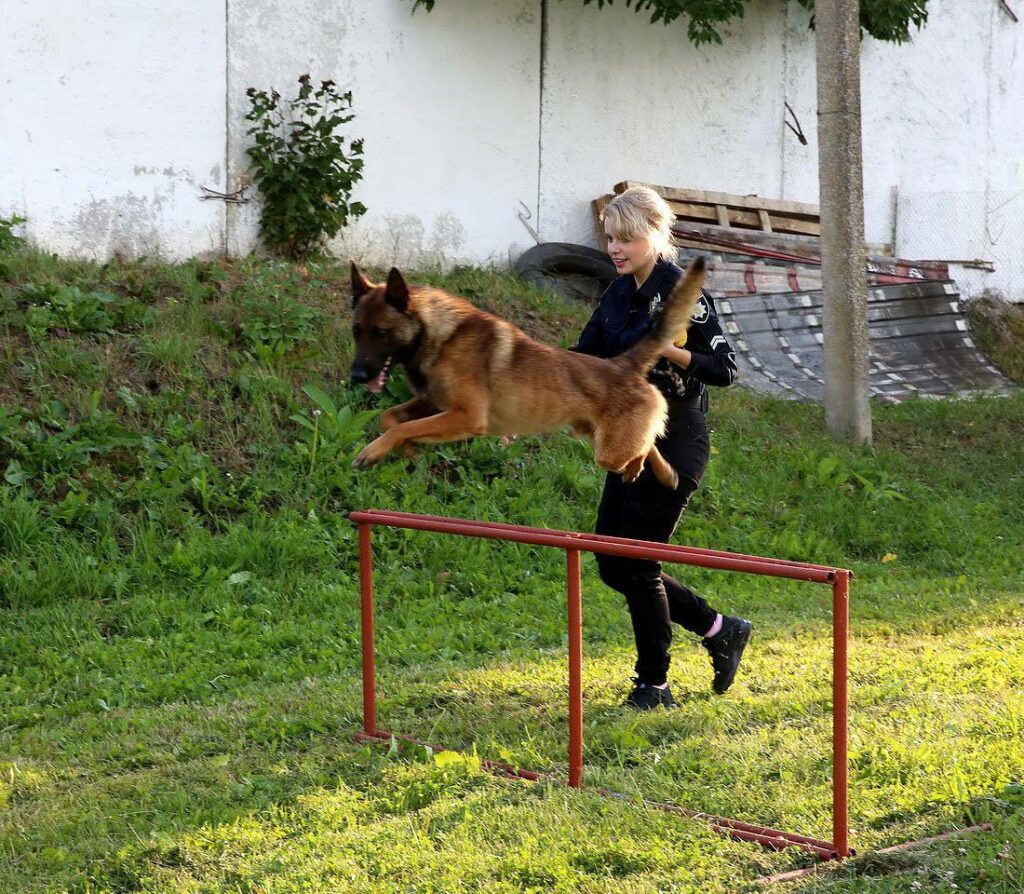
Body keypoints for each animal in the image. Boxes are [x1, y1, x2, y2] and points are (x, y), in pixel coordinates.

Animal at [348, 254, 708, 487]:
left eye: (381, 332)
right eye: (356, 330)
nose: (356, 376)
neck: (439, 334)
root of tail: (622, 363)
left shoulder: (465, 416)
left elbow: (402, 427)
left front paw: (373, 451)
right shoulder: (432, 404)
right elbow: (391, 419)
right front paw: (406, 450)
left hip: (608, 452)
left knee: (643, 446)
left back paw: (649, 470)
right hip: (595, 438)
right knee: (650, 442)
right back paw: (664, 473)